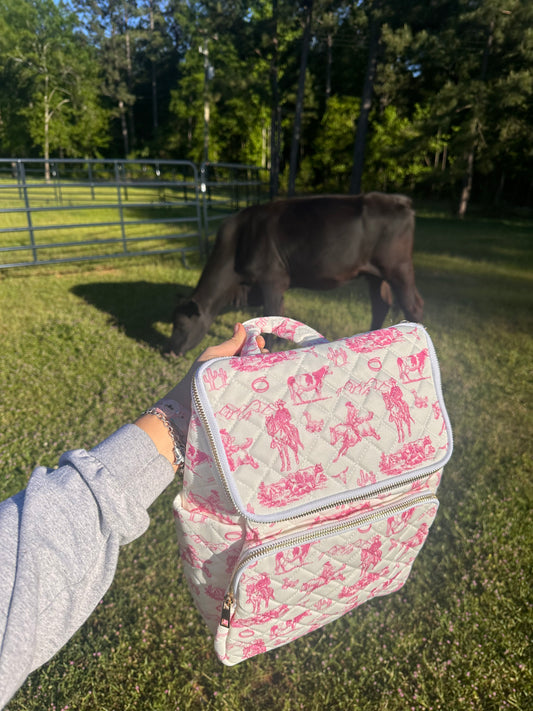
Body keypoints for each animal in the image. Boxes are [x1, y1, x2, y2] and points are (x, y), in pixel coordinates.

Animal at [168, 192, 422, 356]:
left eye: (180, 325)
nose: (168, 351)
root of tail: (400, 200)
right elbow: (278, 314)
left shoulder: (271, 281)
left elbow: (271, 314)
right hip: (375, 275)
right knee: (381, 304)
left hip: (398, 268)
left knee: (413, 306)